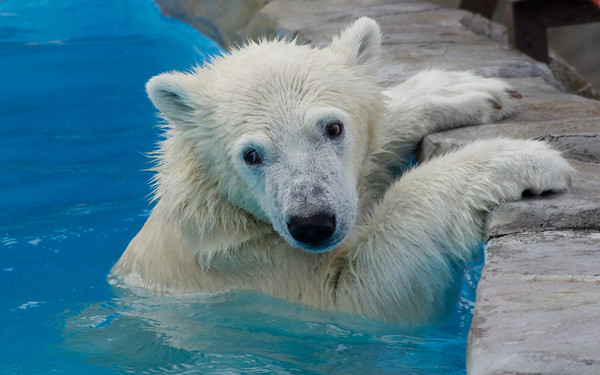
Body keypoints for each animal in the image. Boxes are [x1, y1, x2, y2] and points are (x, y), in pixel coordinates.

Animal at [111, 17, 572, 326]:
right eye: (251, 155)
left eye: (333, 127)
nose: (312, 223)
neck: (221, 208)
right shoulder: (250, 265)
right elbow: (369, 291)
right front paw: (522, 160)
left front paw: (466, 90)